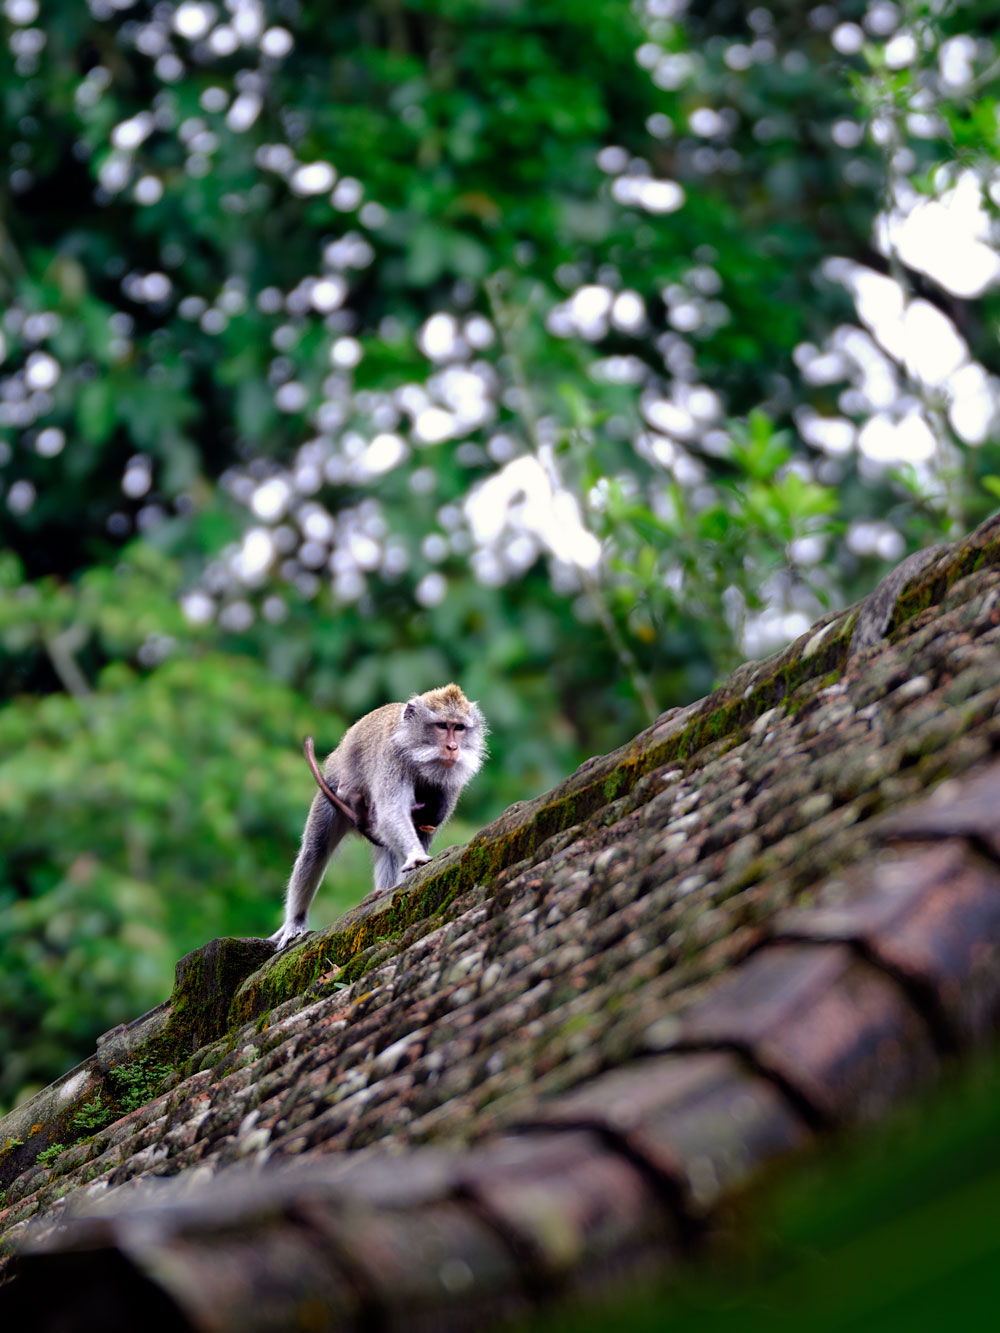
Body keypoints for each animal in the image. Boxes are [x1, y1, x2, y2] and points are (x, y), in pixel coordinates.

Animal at [271, 683, 487, 949]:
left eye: (459, 728)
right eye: (441, 726)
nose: (453, 747)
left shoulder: (450, 782)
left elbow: (427, 826)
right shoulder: (392, 759)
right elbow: (391, 812)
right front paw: (416, 856)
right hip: (331, 796)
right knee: (315, 850)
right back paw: (295, 923)